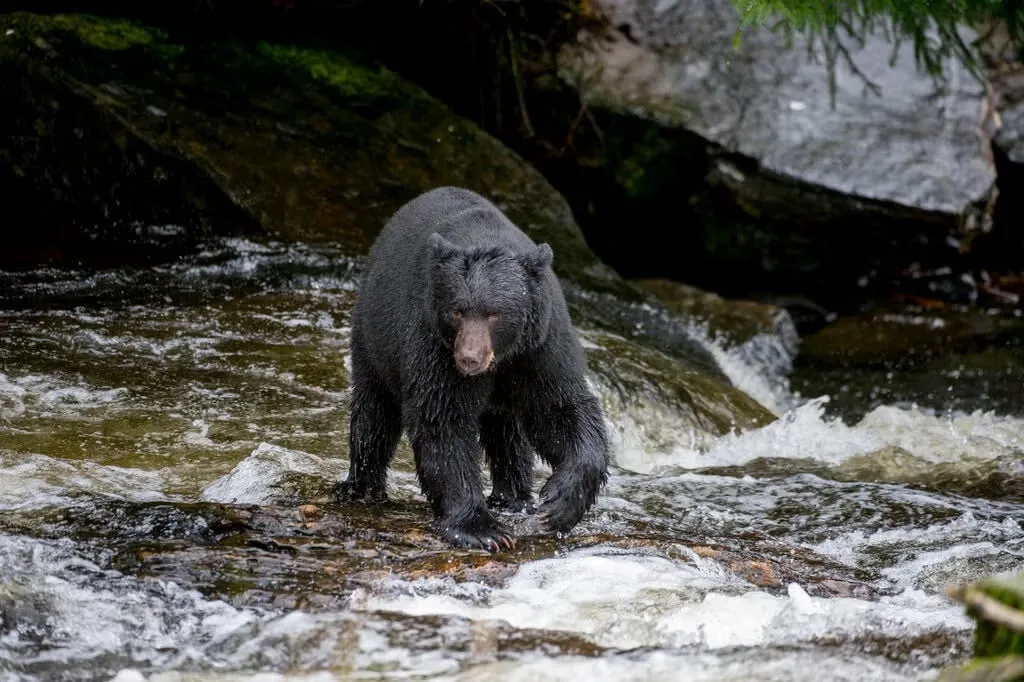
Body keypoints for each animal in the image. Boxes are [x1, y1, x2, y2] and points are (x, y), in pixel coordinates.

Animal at [334, 186, 610, 551]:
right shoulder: (433, 342)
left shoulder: (540, 345)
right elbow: (442, 418)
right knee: (374, 413)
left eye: (494, 313)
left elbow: (560, 408)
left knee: (508, 432)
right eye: (457, 311)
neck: (502, 357)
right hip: (373, 336)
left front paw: (559, 503)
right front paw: (481, 529)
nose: (468, 359)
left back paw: (514, 497)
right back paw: (360, 487)